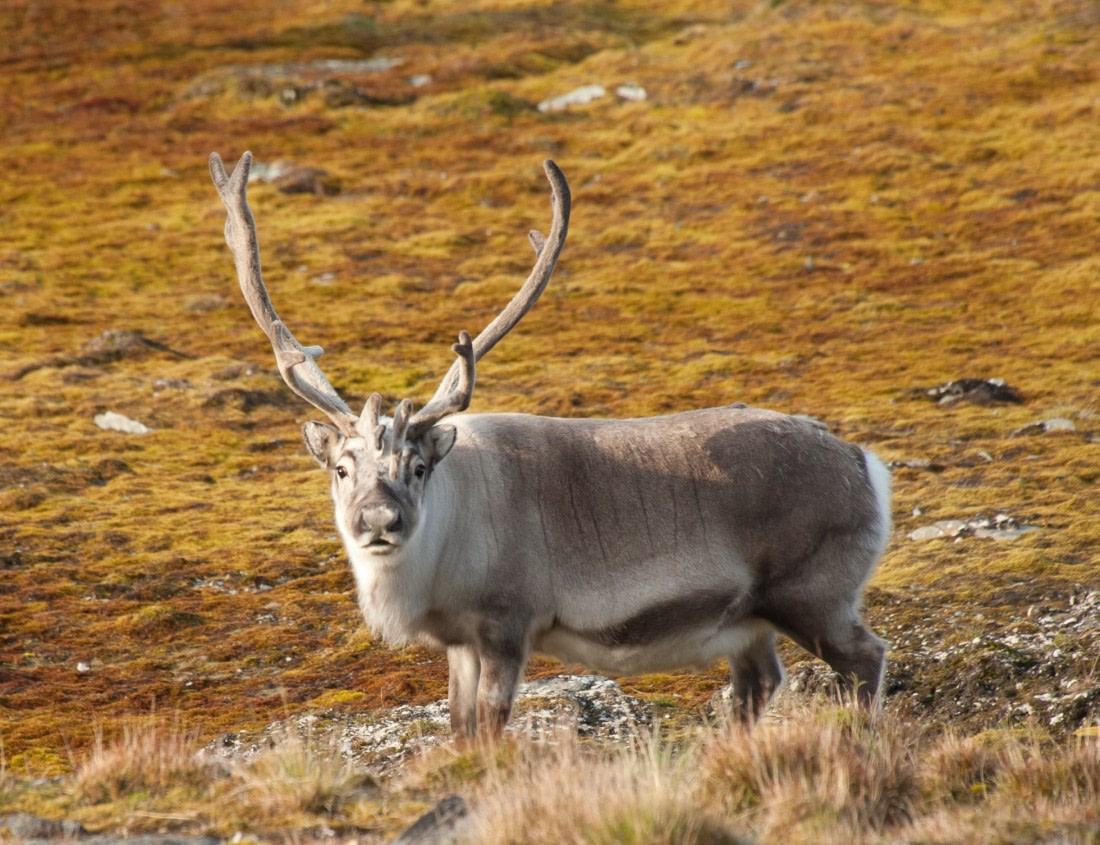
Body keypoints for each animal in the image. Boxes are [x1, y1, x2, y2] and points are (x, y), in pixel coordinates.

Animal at [209, 152, 892, 741]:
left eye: (419, 466)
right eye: (341, 468)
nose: (380, 521)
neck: (437, 558)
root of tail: (865, 465)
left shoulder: (508, 624)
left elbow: (489, 726)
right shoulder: (460, 642)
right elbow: (459, 726)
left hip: (814, 594)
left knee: (865, 657)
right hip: (749, 623)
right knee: (760, 683)